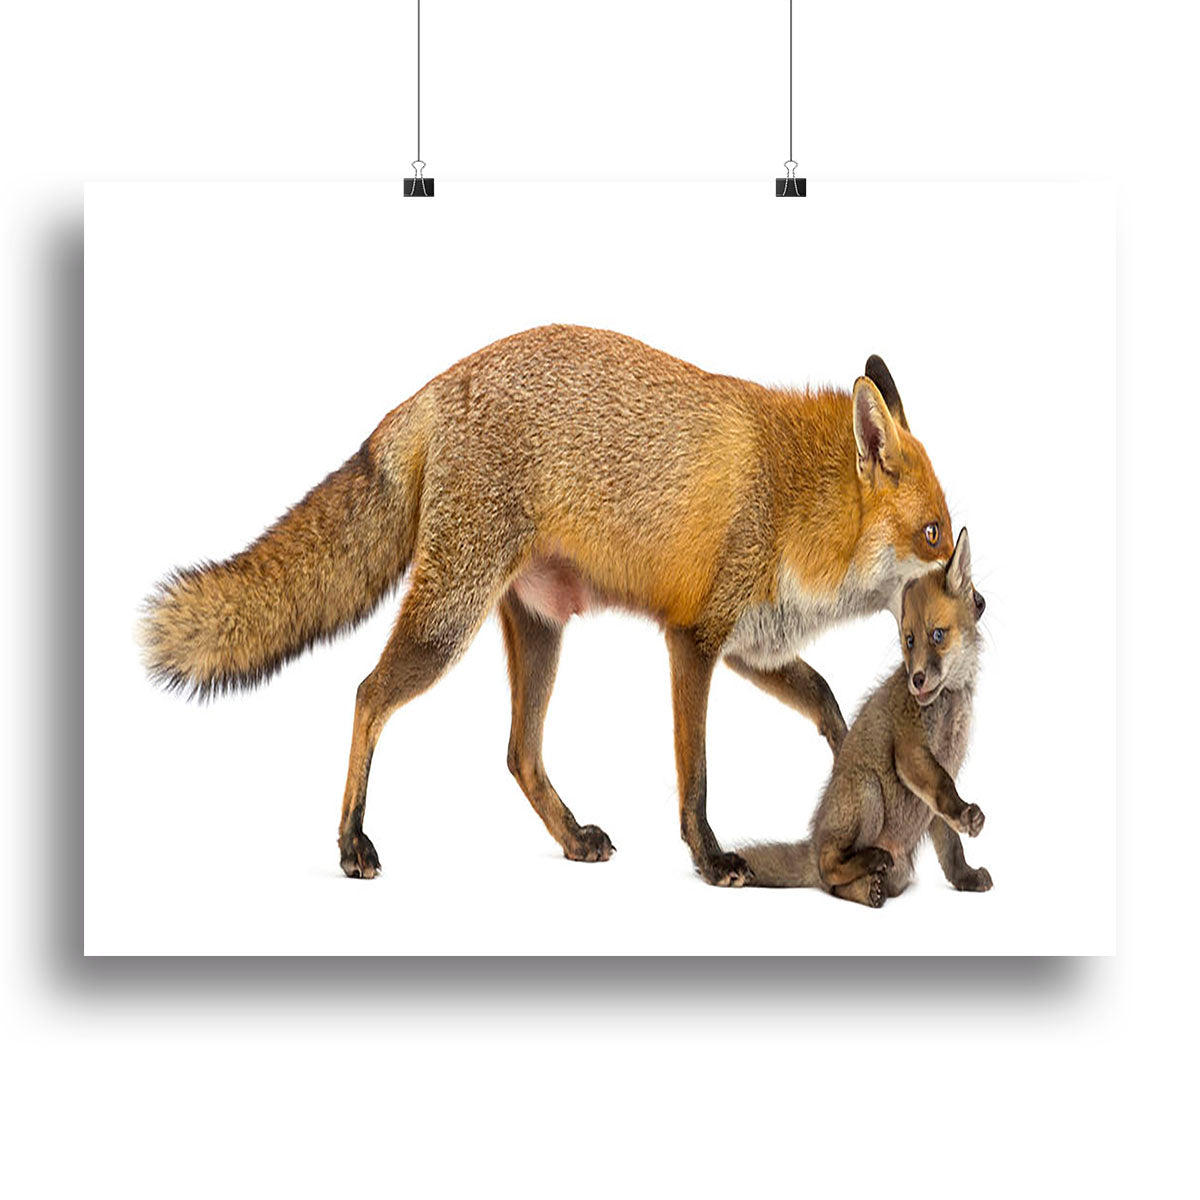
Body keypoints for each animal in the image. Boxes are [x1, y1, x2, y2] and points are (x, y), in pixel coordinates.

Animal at [140, 324, 955, 885]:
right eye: (935, 534)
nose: (972, 594)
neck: (793, 501)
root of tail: (438, 383)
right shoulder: (692, 639)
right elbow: (695, 776)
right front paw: (712, 858)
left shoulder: (747, 643)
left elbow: (823, 697)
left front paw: (852, 765)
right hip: (449, 620)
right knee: (369, 695)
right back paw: (350, 842)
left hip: (538, 628)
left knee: (518, 753)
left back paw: (570, 839)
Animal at [738, 527, 991, 906]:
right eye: (909, 641)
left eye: (937, 635)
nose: (917, 679)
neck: (949, 705)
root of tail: (813, 841)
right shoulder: (912, 753)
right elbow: (944, 788)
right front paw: (965, 815)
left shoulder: (937, 792)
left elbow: (951, 849)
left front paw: (966, 878)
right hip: (867, 789)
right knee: (829, 871)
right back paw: (868, 860)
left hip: (896, 870)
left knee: (840, 887)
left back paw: (870, 885)